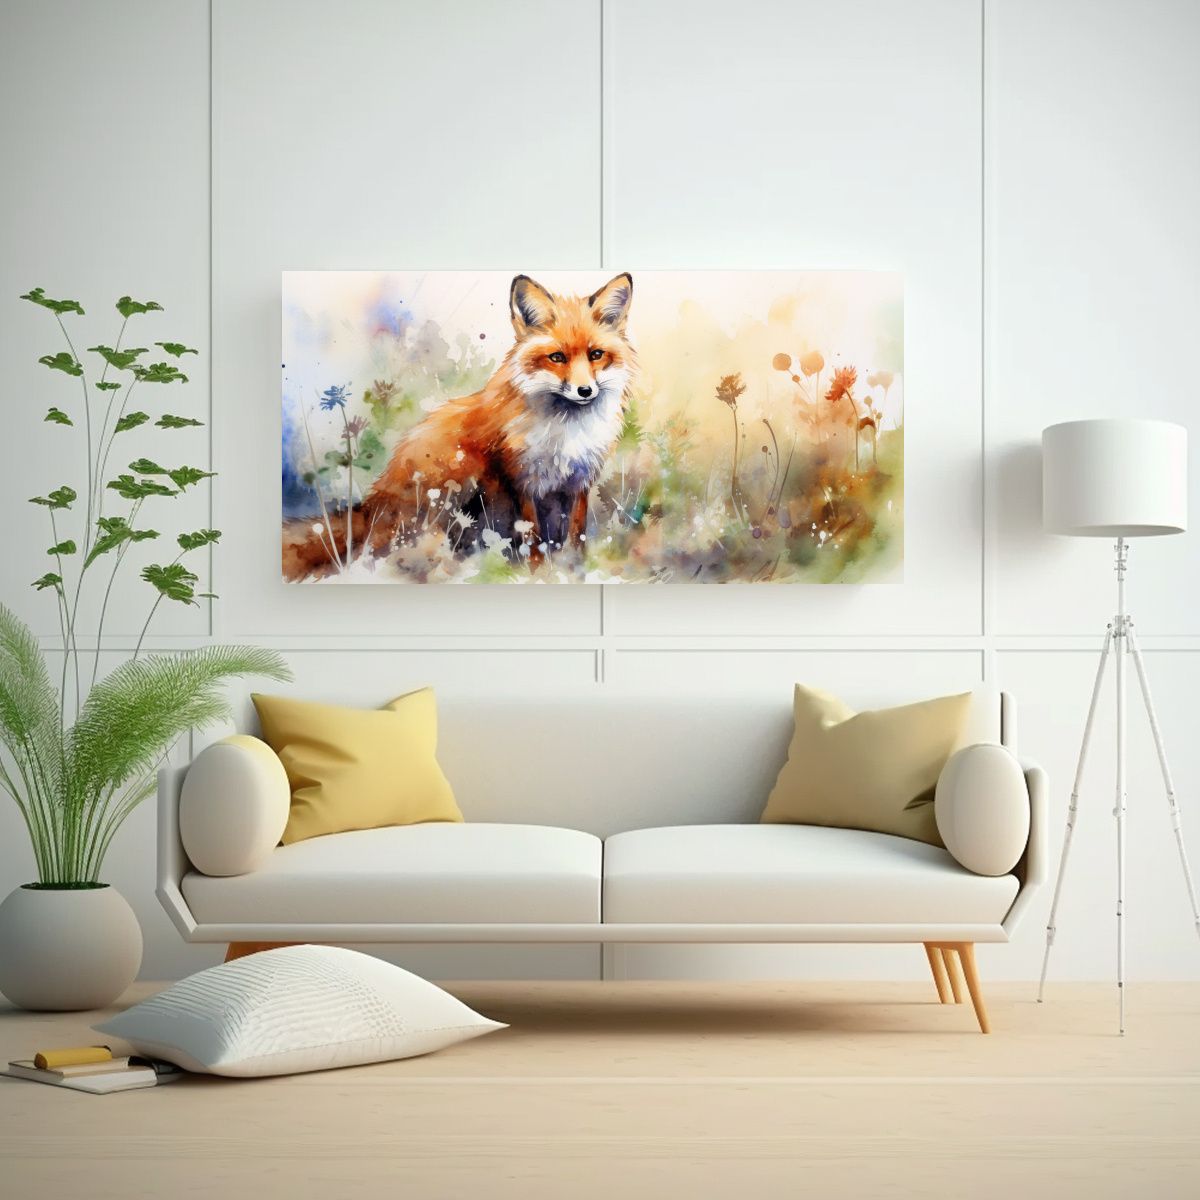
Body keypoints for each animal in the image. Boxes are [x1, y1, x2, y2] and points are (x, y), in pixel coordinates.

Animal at [283, 272, 636, 580]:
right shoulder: (522, 480)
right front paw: (538, 573)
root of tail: (374, 505)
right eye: (557, 357)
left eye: (596, 355)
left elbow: (576, 534)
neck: (565, 431)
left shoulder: (578, 482)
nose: (585, 391)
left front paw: (575, 568)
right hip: (459, 470)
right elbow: (533, 537)